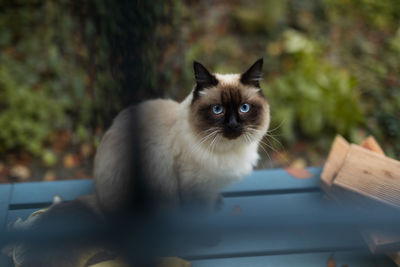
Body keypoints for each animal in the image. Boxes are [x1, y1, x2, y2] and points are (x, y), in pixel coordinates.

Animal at [94, 58, 270, 216]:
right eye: (217, 109)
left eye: (244, 108)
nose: (233, 124)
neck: (227, 151)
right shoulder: (193, 189)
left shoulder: (208, 188)